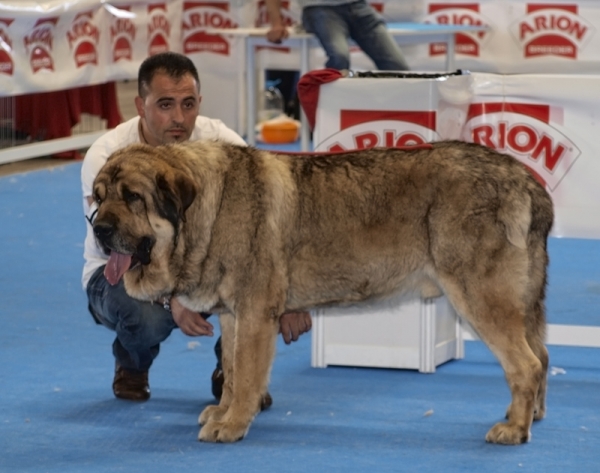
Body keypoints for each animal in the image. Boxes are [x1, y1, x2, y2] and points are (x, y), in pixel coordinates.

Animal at [92, 139, 552, 442]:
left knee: (525, 364)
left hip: (480, 299)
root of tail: (524, 179)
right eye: (97, 198)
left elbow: (246, 378)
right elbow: (233, 374)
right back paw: (530, 416)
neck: (212, 206)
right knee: (542, 356)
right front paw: (223, 412)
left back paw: (514, 429)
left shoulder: (256, 315)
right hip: (516, 304)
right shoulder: (234, 317)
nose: (98, 229)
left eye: (133, 197)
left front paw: (234, 424)